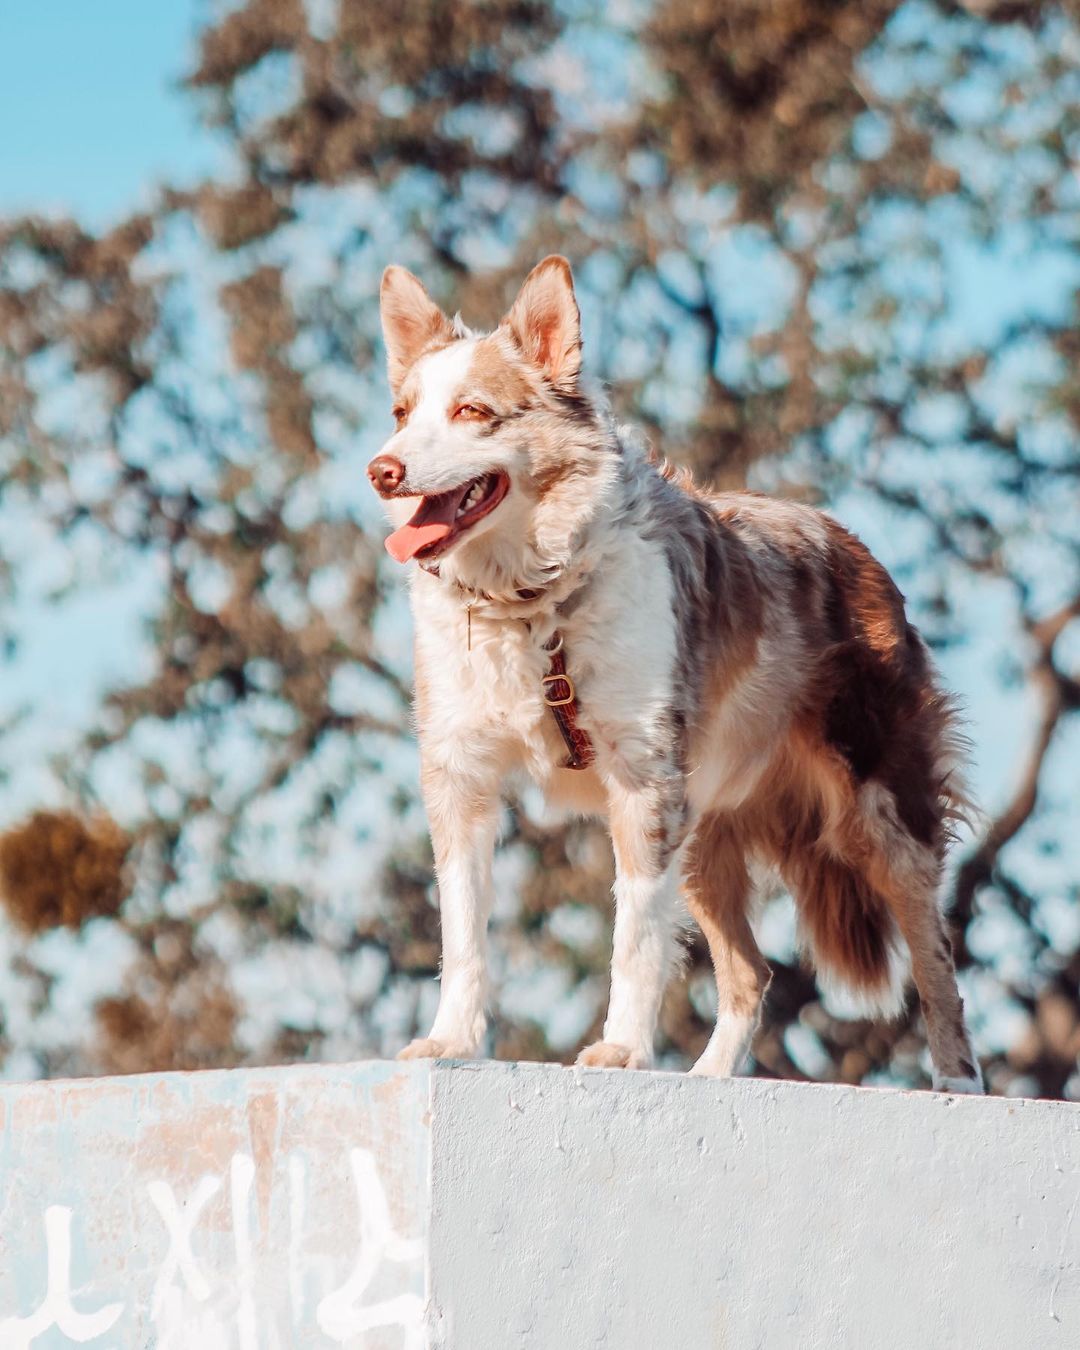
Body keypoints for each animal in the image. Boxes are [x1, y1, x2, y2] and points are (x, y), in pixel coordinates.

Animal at [367, 255, 982, 1096]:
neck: (533, 604)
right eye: (402, 413)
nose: (381, 470)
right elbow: (461, 930)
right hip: (706, 830)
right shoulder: (460, 772)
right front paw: (449, 1040)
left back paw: (961, 1085)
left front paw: (622, 1051)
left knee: (935, 954)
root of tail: (853, 544)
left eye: (471, 410)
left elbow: (634, 938)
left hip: (880, 810)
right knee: (752, 972)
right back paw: (710, 1076)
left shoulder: (644, 778)